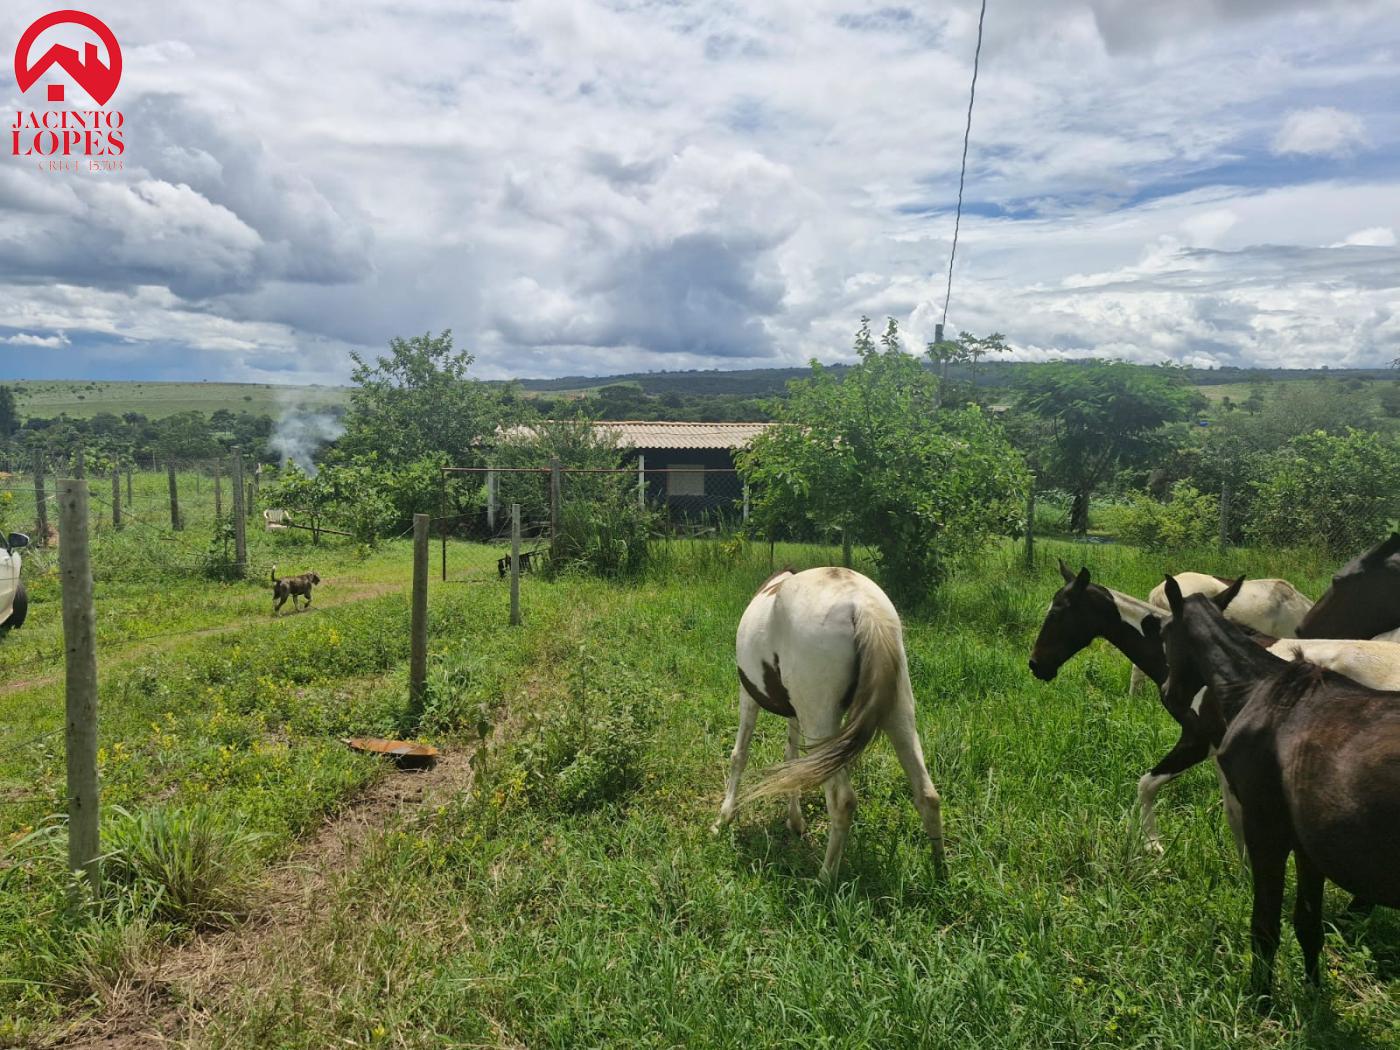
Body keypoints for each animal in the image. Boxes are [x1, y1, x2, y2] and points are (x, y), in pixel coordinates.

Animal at [716, 571, 946, 884]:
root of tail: (862, 606)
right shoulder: (795, 712)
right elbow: (793, 765)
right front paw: (795, 822)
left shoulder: (748, 696)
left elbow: (739, 754)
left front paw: (724, 816)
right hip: (899, 715)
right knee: (927, 795)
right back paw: (941, 875)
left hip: (821, 721)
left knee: (842, 801)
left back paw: (824, 879)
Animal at [1159, 579, 1400, 996]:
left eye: (1165, 634)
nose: (1169, 693)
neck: (1263, 690)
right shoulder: (1308, 846)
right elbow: (1307, 925)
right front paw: (1314, 994)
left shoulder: (1266, 832)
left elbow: (1265, 927)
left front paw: (1261, 997)